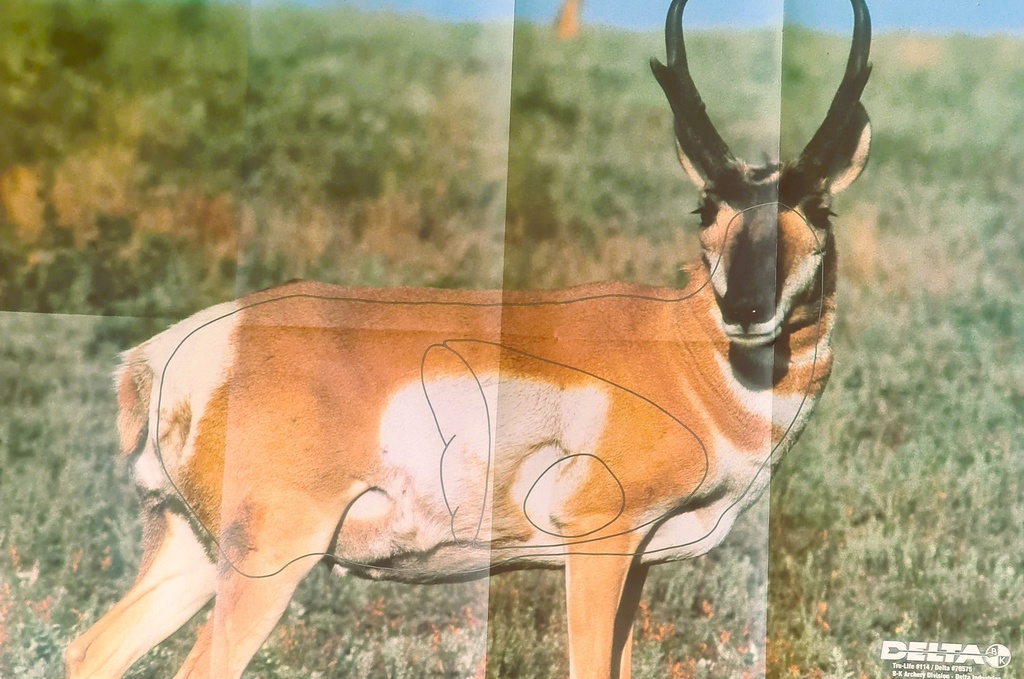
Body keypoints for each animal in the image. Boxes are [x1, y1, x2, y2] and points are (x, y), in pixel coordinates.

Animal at [65, 0, 871, 676]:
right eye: (706, 206)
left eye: (819, 208)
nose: (745, 307)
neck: (680, 351)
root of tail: (163, 355)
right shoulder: (599, 545)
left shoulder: (641, 560)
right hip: (268, 560)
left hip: (191, 554)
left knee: (92, 648)